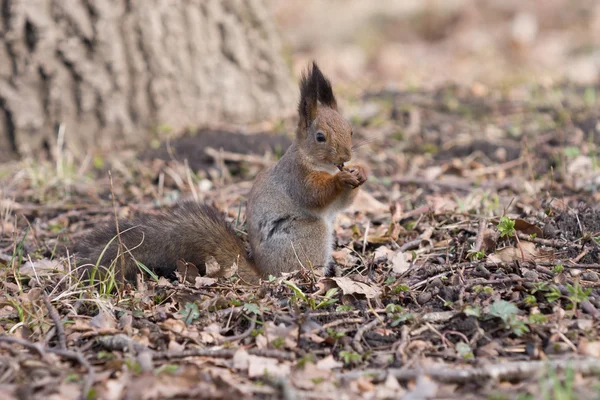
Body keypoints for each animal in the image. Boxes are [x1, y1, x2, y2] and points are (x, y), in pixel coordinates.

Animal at [77, 63, 368, 284]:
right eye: (320, 137)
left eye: (350, 130)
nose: (346, 157)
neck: (319, 164)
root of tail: (264, 273)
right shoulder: (296, 177)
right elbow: (315, 195)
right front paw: (342, 179)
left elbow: (342, 204)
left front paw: (362, 171)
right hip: (308, 235)